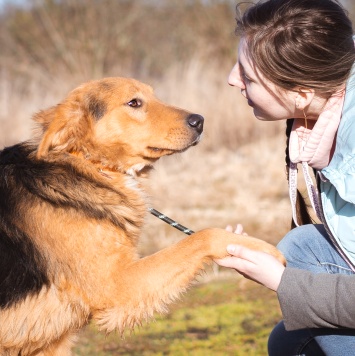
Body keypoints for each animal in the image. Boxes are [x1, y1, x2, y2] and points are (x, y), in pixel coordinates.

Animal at [0, 76, 286, 354]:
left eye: (154, 95)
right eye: (134, 103)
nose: (200, 121)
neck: (89, 162)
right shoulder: (117, 286)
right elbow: (204, 236)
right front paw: (261, 248)